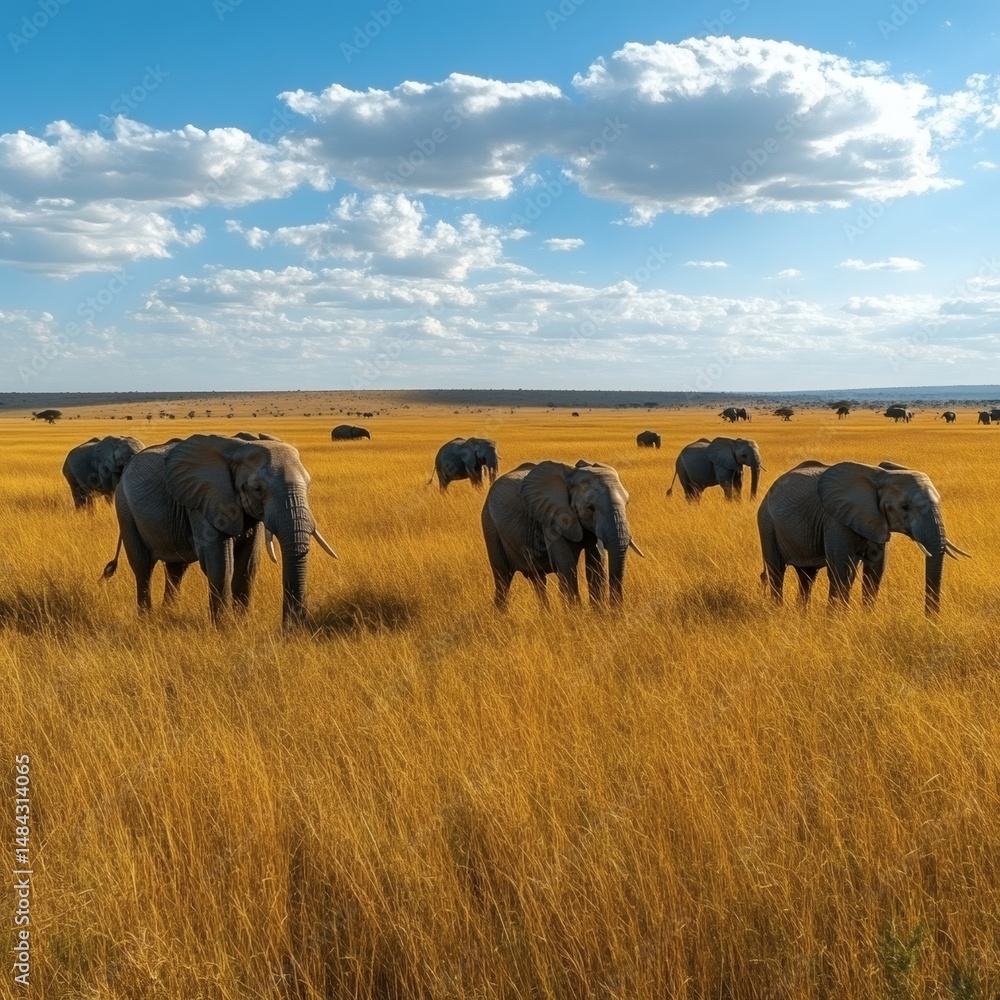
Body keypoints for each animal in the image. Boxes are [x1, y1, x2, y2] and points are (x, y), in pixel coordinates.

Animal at [104, 433, 337, 626]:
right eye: (258, 489)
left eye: (308, 485)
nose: (291, 627)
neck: (238, 449)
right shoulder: (204, 501)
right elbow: (220, 563)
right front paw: (225, 628)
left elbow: (248, 565)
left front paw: (242, 624)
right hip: (125, 508)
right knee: (142, 566)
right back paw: (146, 618)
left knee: (176, 569)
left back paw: (169, 613)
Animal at [481, 459, 644, 609]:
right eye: (590, 508)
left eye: (627, 503)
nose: (617, 611)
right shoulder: (553, 518)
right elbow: (567, 565)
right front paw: (576, 616)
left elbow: (596, 565)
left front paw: (598, 614)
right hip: (490, 525)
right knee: (502, 578)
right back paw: (501, 616)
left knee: (538, 580)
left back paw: (546, 615)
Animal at [757, 460, 969, 615]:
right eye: (905, 507)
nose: (930, 619)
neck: (880, 475)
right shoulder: (834, 519)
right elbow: (842, 569)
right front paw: (836, 620)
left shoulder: (875, 520)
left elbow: (875, 569)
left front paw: (867, 617)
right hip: (767, 523)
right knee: (776, 570)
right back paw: (777, 612)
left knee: (807, 575)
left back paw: (802, 614)